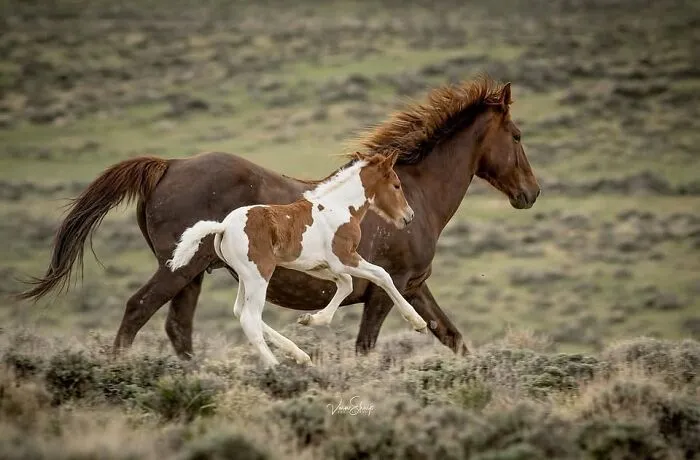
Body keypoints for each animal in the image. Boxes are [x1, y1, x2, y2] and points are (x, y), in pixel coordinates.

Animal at [166, 150, 427, 367]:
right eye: (396, 185)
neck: (340, 207)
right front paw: (418, 323)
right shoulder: (345, 258)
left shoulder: (320, 266)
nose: (409, 216)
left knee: (240, 311)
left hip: (244, 276)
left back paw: (300, 355)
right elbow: (382, 275)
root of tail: (223, 227)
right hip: (259, 275)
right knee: (250, 318)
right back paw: (277, 367)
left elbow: (346, 284)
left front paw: (310, 320)